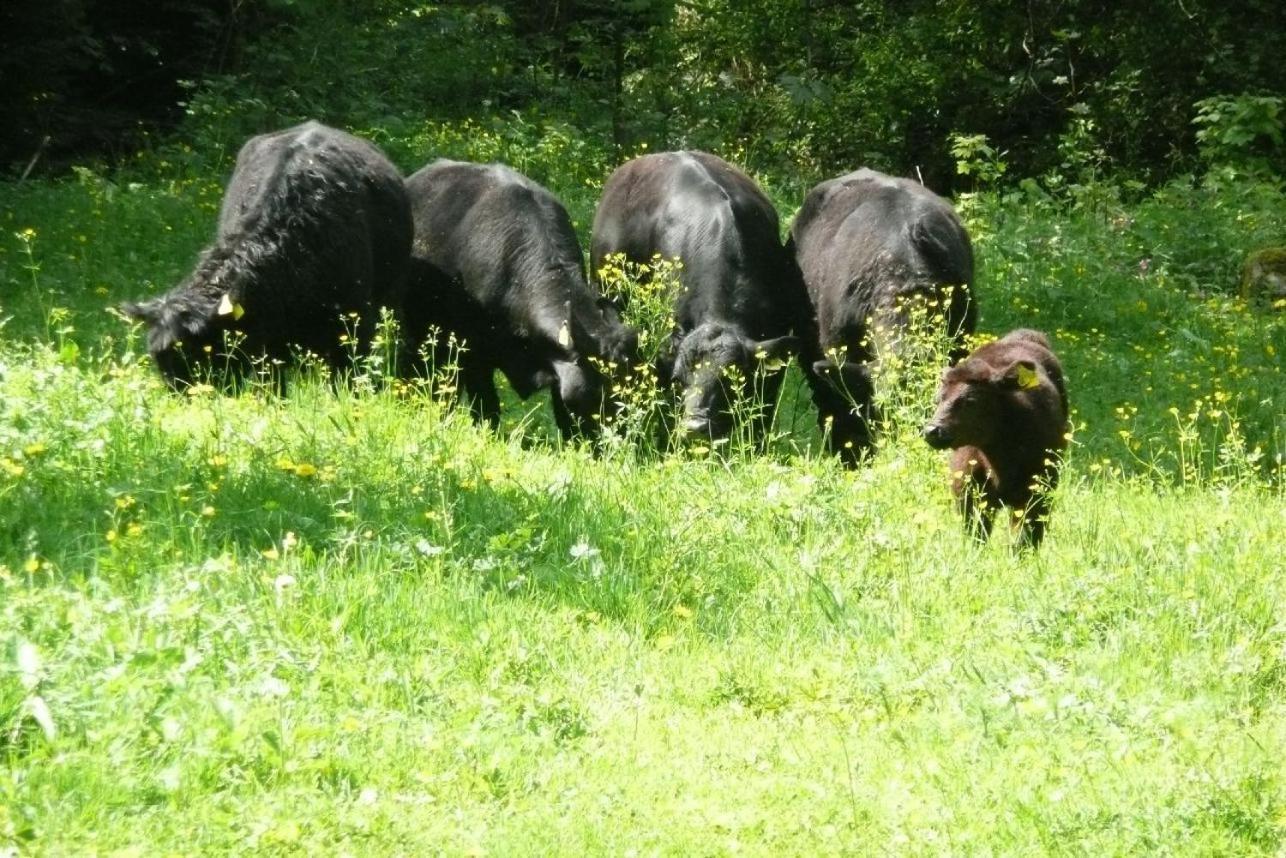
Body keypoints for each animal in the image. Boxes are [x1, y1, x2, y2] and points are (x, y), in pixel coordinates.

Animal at [925, 329, 1064, 550]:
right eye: (938, 399)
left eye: (971, 400)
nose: (932, 430)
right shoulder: (968, 495)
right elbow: (976, 537)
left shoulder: (1037, 494)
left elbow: (1024, 540)